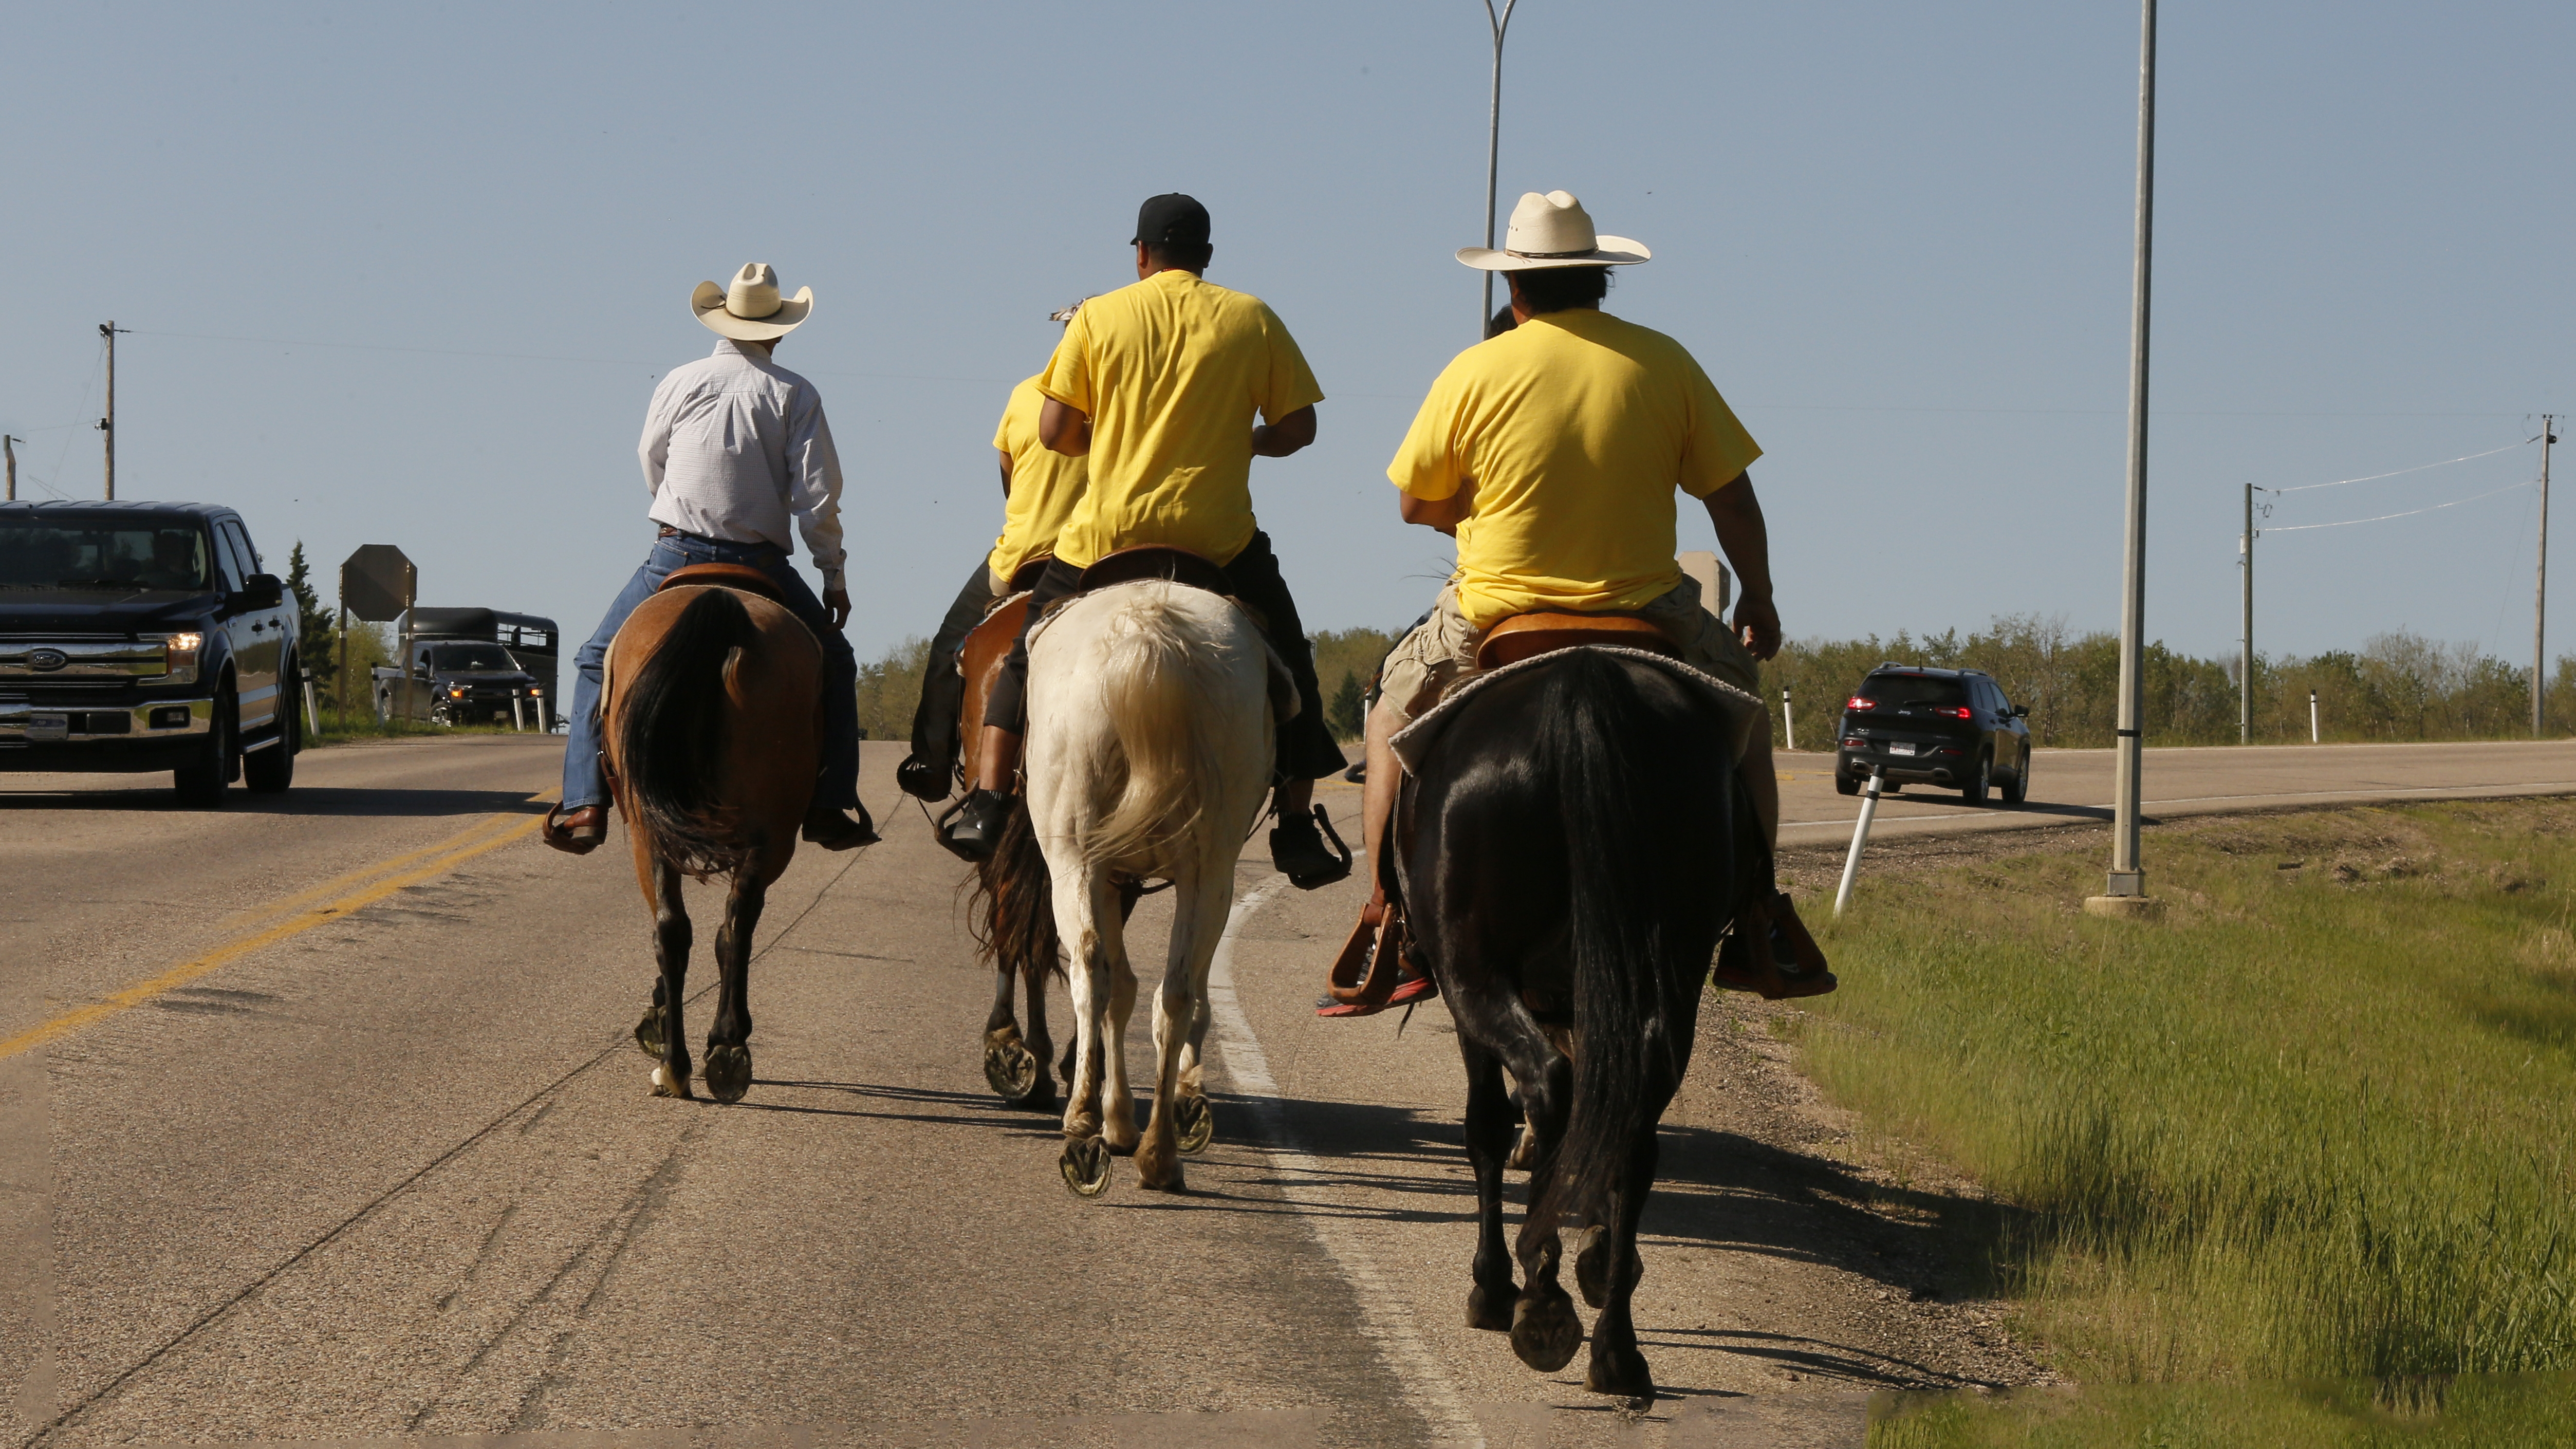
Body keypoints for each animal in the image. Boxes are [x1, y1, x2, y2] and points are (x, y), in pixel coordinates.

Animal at [600, 561, 814, 1106]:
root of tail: (721, 599)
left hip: (657, 834)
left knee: (685, 928)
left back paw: (684, 1060)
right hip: (762, 837)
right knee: (721, 924)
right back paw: (722, 1053)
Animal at [1005, 573, 1288, 1194]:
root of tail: (1148, 630)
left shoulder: (1108, 877)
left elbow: (1118, 989)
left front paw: (1117, 1118)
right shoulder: (1142, 878)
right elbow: (1139, 991)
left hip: (1078, 863)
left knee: (1098, 972)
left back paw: (1091, 1123)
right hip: (1205, 874)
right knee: (1172, 990)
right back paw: (1155, 1151)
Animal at [1391, 641, 1772, 1400]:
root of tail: (1583, 680)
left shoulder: (1471, 994)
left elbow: (1489, 1125)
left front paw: (1493, 1287)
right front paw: (1597, 1256)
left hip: (1473, 971)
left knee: (1544, 1086)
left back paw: (1540, 1300)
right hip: (1670, 970)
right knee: (1632, 1121)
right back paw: (1616, 1346)